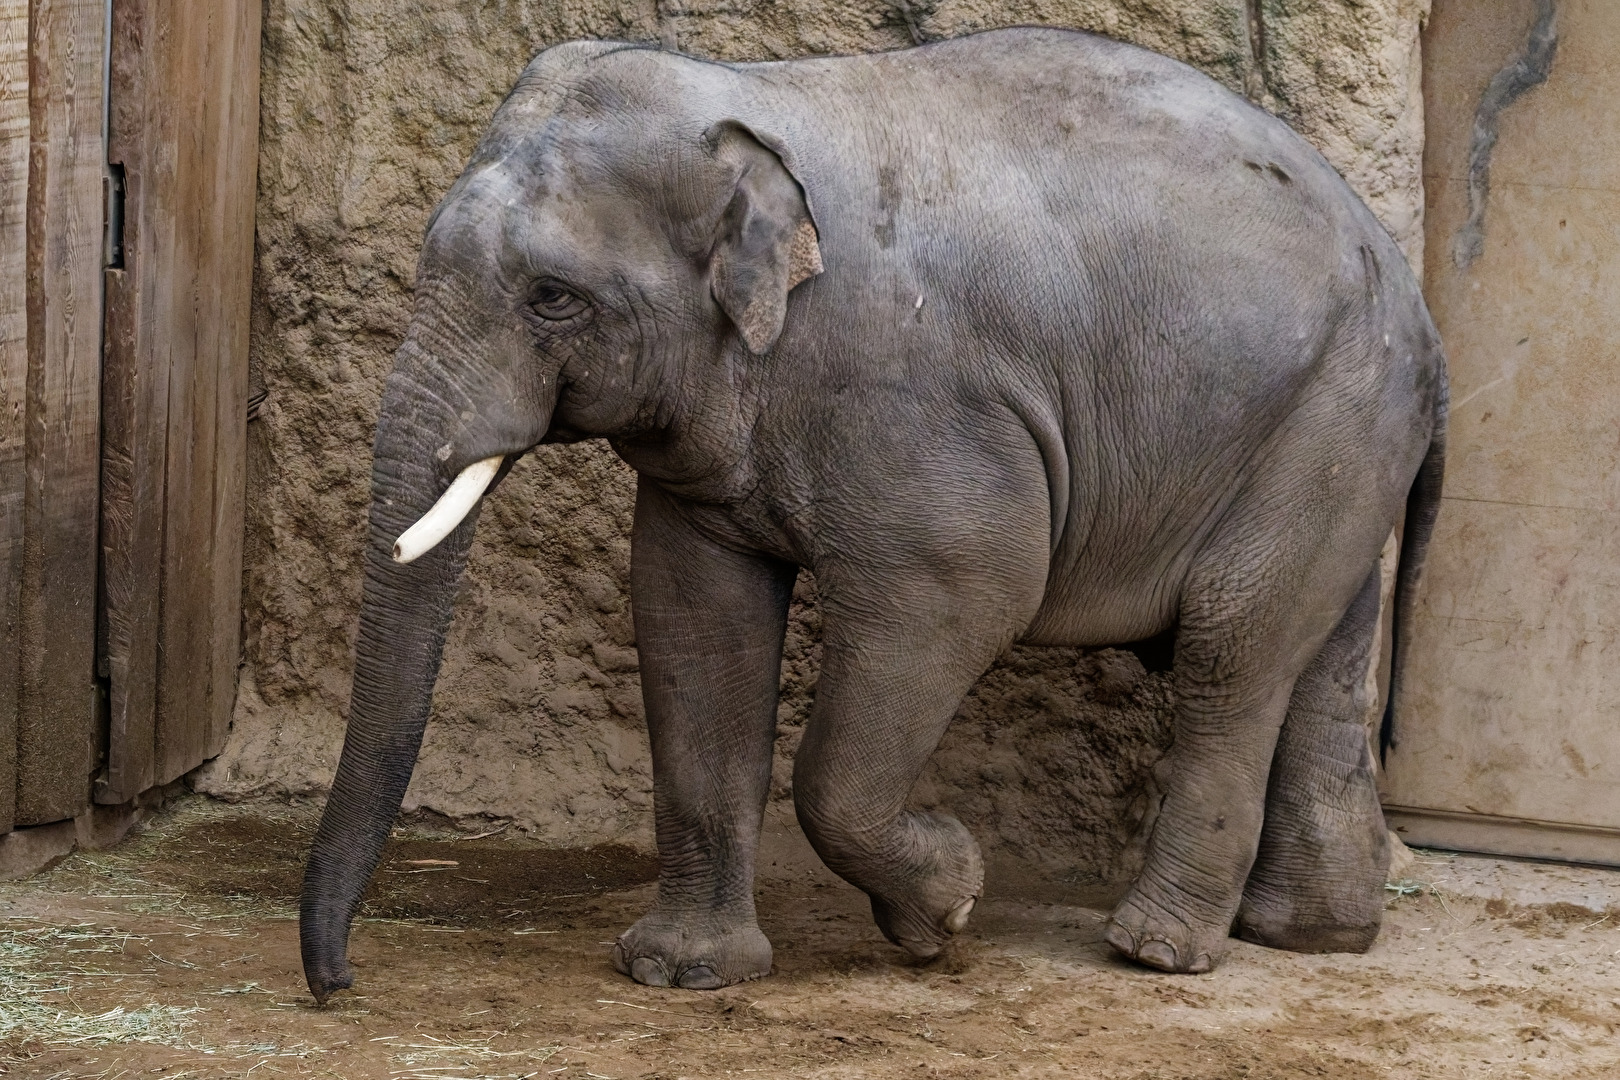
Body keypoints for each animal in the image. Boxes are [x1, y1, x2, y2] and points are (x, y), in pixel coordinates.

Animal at [299, 26, 1447, 1002]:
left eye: (550, 297)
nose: (341, 984)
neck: (751, 101)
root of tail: (1418, 302)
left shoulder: (928, 407)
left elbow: (963, 598)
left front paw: (945, 908)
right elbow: (693, 618)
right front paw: (682, 973)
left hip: (1330, 414)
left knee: (1227, 653)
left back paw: (1156, 951)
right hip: (1337, 435)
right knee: (1319, 656)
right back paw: (1312, 935)